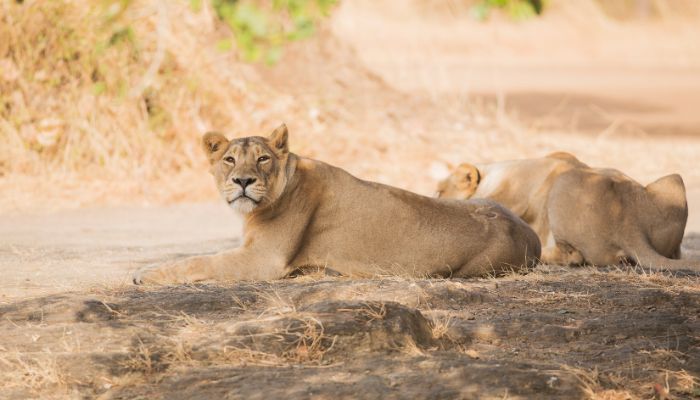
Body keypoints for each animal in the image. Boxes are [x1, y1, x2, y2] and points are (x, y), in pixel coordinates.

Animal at [134, 125, 540, 284]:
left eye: (263, 159)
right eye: (230, 160)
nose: (243, 181)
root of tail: (532, 237)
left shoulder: (263, 259)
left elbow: (198, 261)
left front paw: (145, 274)